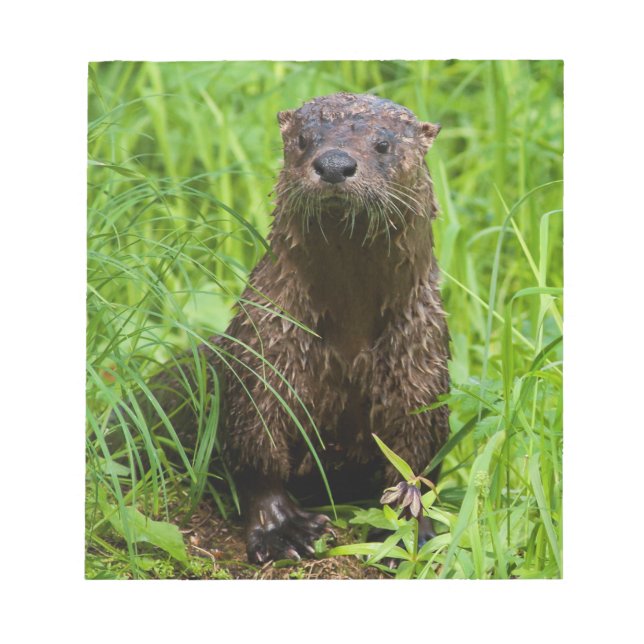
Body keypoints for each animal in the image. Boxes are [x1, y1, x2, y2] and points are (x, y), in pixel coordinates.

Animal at [145, 93, 450, 564]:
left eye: (382, 144)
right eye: (305, 140)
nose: (335, 163)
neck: (349, 340)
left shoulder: (421, 364)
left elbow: (415, 459)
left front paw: (410, 533)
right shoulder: (264, 352)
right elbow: (257, 451)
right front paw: (282, 529)